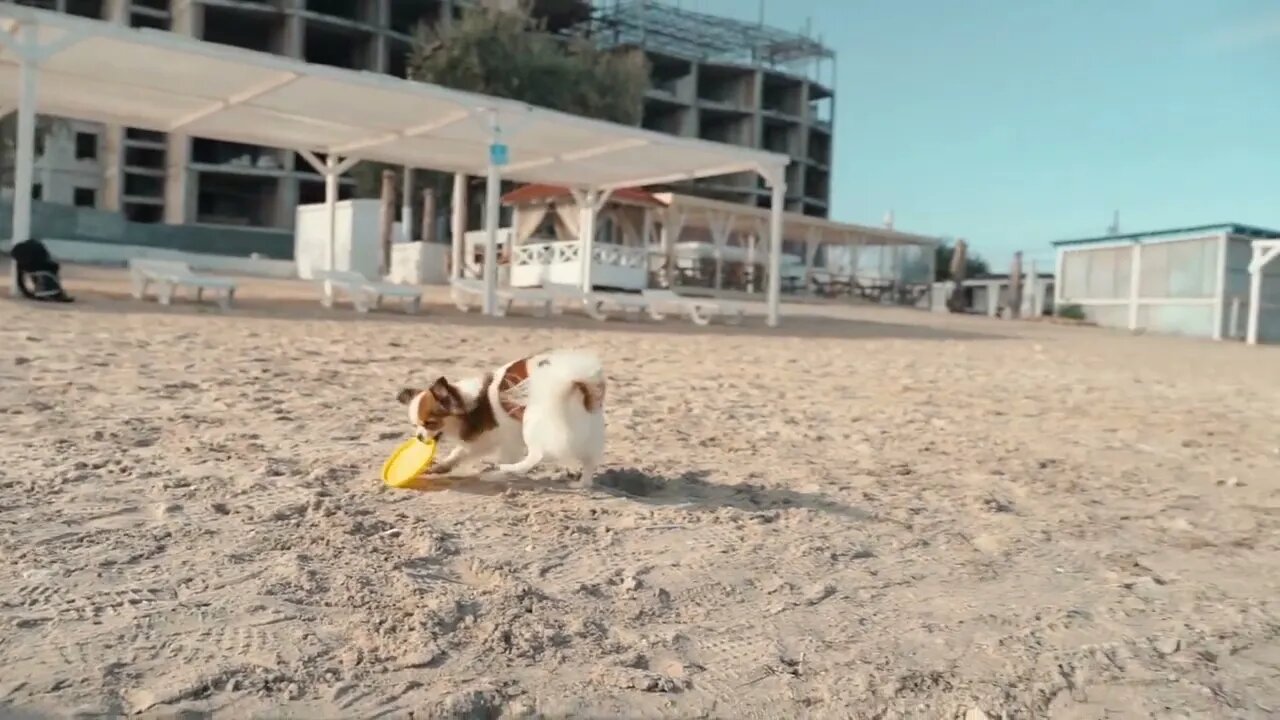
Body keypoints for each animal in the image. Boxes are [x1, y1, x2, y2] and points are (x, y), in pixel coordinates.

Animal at [394, 348, 604, 484]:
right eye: (415, 425)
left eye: (430, 423)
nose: (419, 437)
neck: (477, 405)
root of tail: (573, 384)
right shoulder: (482, 440)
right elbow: (459, 453)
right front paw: (442, 466)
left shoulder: (508, 439)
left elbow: (504, 457)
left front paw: (499, 472)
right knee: (588, 460)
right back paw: (583, 483)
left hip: (535, 424)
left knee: (535, 456)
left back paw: (497, 474)